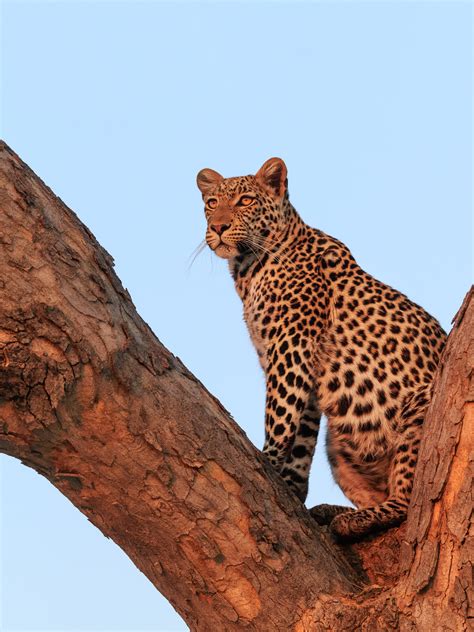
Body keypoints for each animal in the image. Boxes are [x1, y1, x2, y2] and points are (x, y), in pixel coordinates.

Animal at [194, 158, 446, 540]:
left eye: (245, 201)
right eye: (211, 204)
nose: (218, 227)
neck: (247, 268)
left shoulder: (291, 347)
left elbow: (279, 417)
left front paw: (266, 460)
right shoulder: (297, 368)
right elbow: (300, 437)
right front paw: (289, 487)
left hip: (418, 406)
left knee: (405, 504)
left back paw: (351, 519)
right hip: (338, 449)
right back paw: (332, 511)